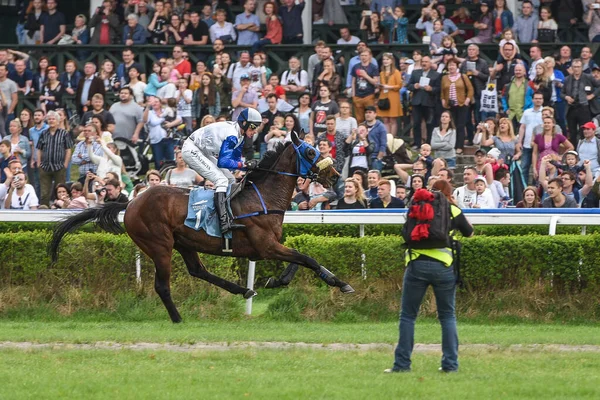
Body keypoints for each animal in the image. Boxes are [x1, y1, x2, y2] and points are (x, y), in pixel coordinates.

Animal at [50, 133, 356, 324]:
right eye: (310, 151)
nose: (334, 176)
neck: (263, 198)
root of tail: (133, 200)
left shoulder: (270, 247)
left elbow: (299, 258)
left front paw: (275, 280)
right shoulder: (266, 246)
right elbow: (307, 258)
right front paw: (340, 283)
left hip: (184, 243)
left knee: (198, 270)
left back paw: (243, 291)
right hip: (159, 245)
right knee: (162, 285)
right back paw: (177, 318)